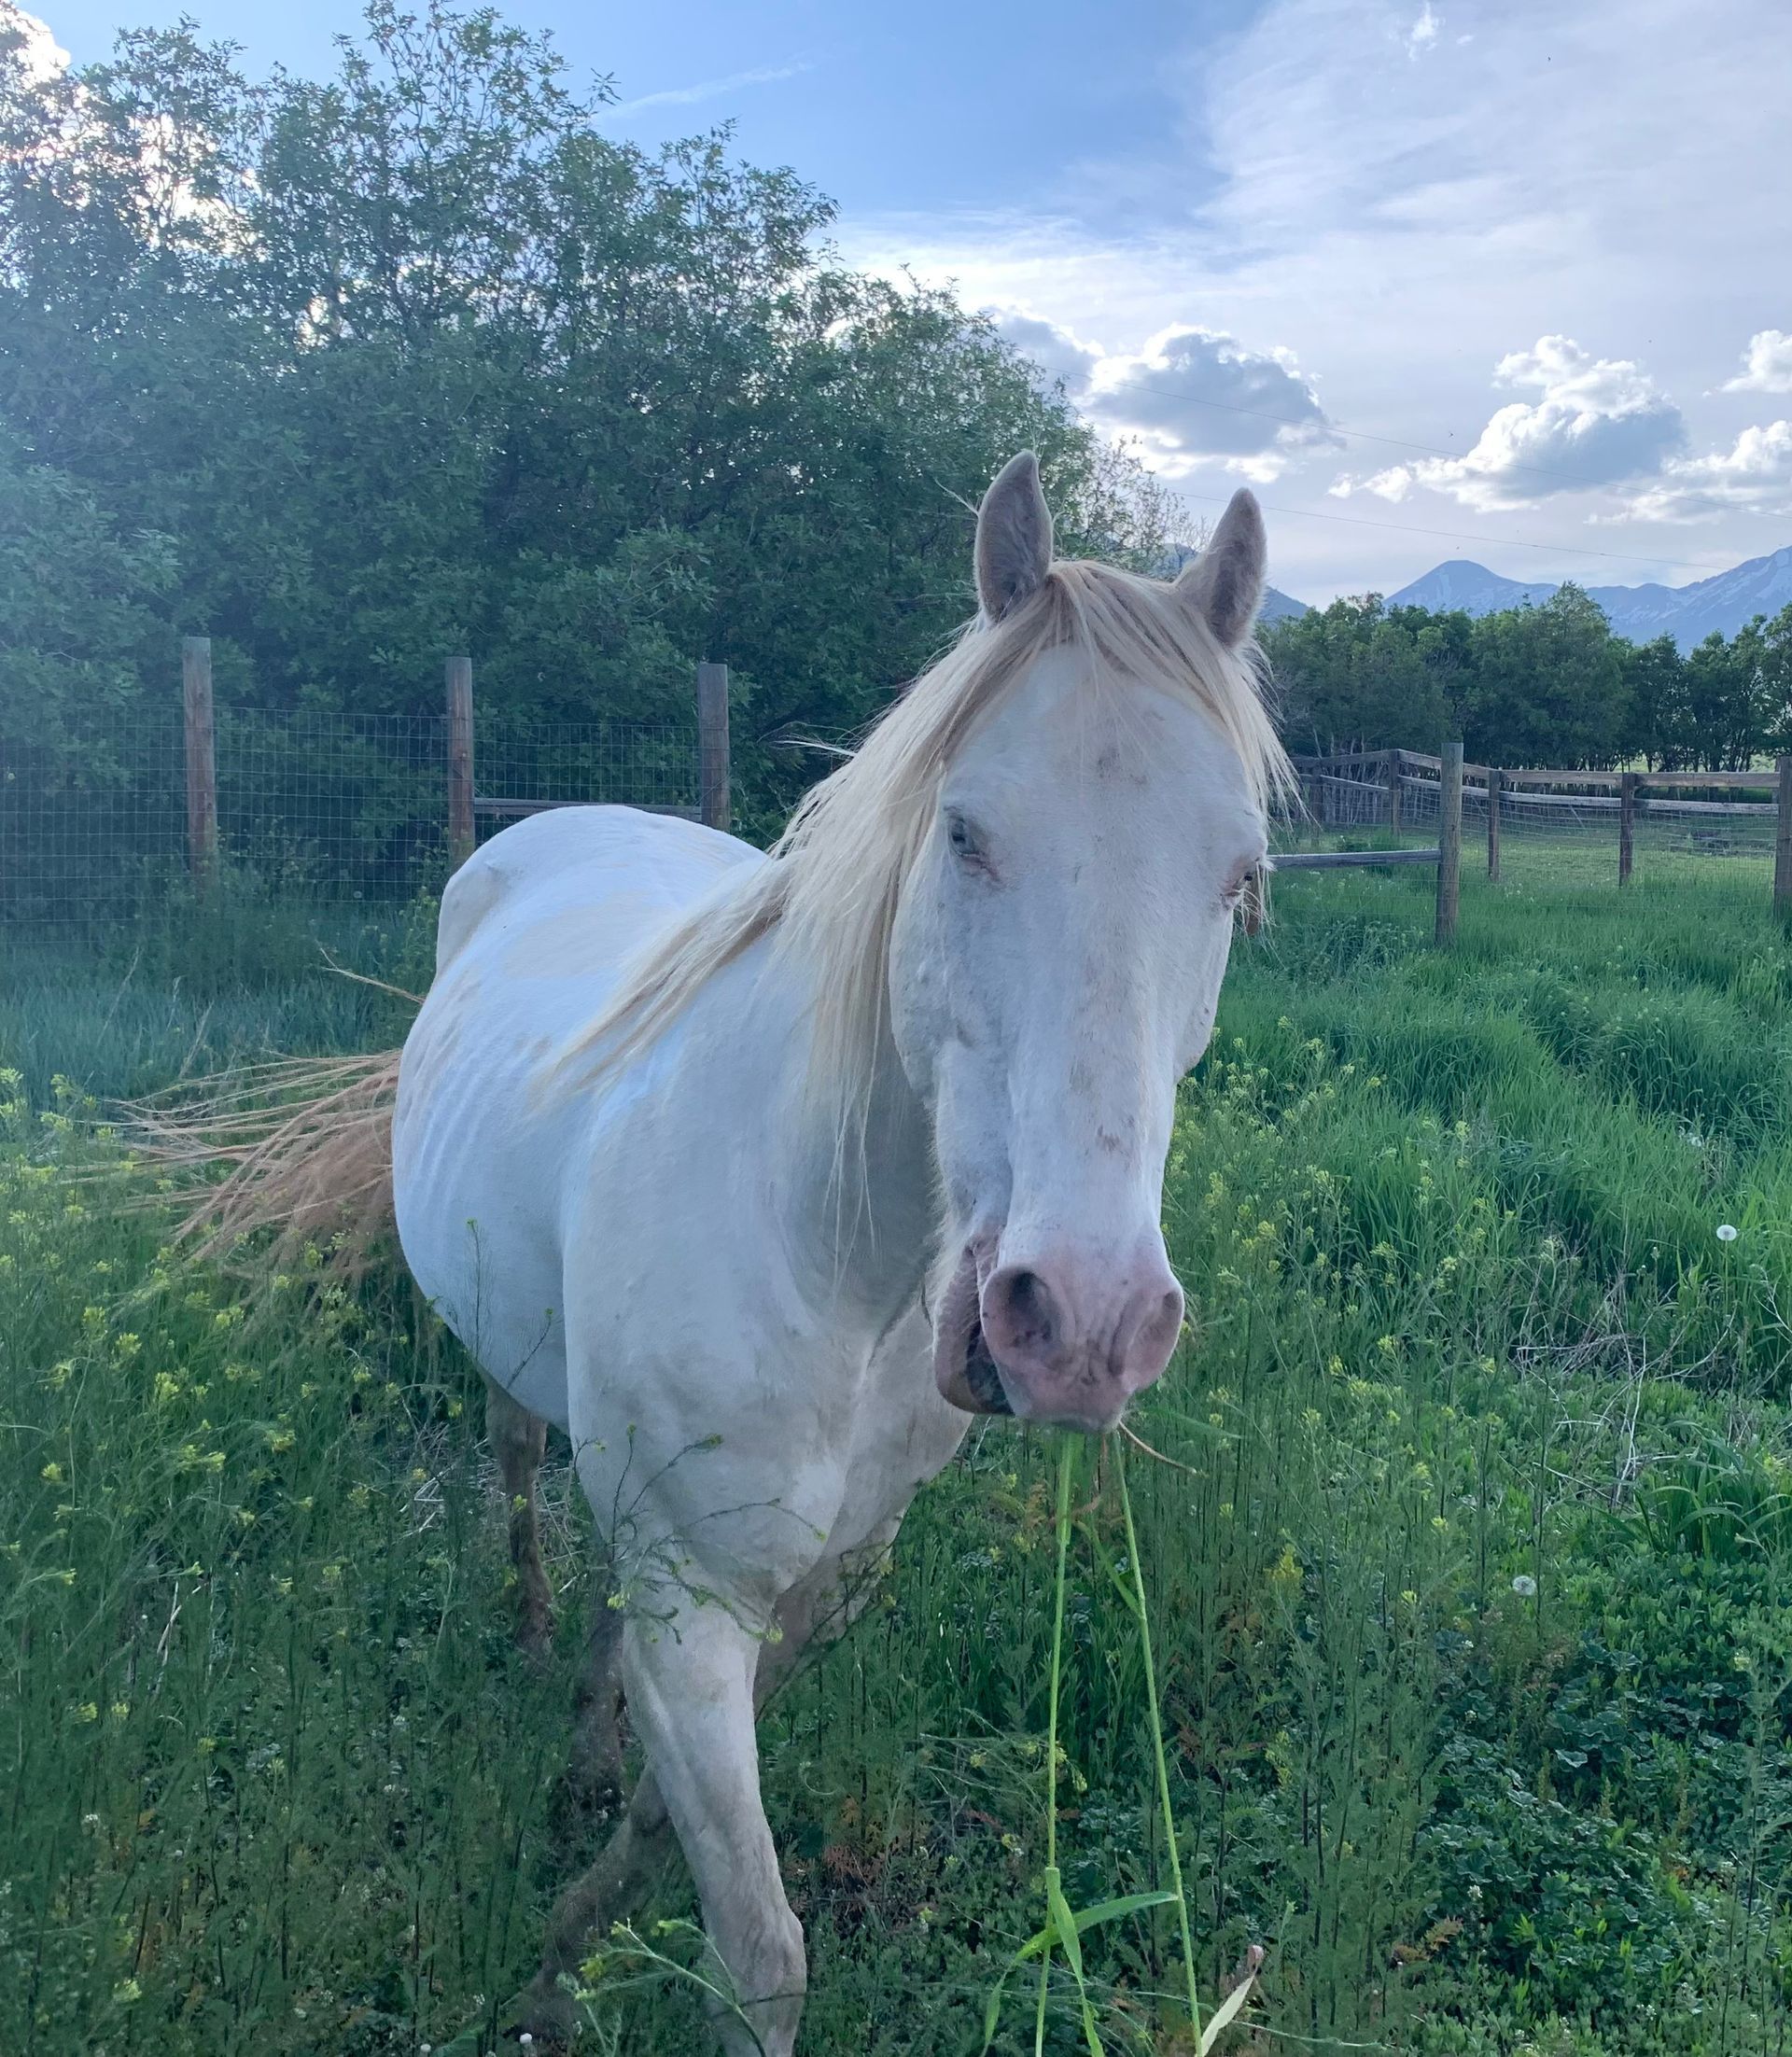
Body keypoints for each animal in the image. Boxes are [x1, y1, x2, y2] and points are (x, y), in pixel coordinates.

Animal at [260, 453, 1285, 2051]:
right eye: (963, 833)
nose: (1084, 1324)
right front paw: (554, 1973)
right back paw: (539, 1639)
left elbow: (671, 1831)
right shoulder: (697, 1605)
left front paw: (575, 1916)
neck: (840, 1277)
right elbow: (759, 1943)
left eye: (1238, 875)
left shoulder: (821, 1587)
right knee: (516, 1466)